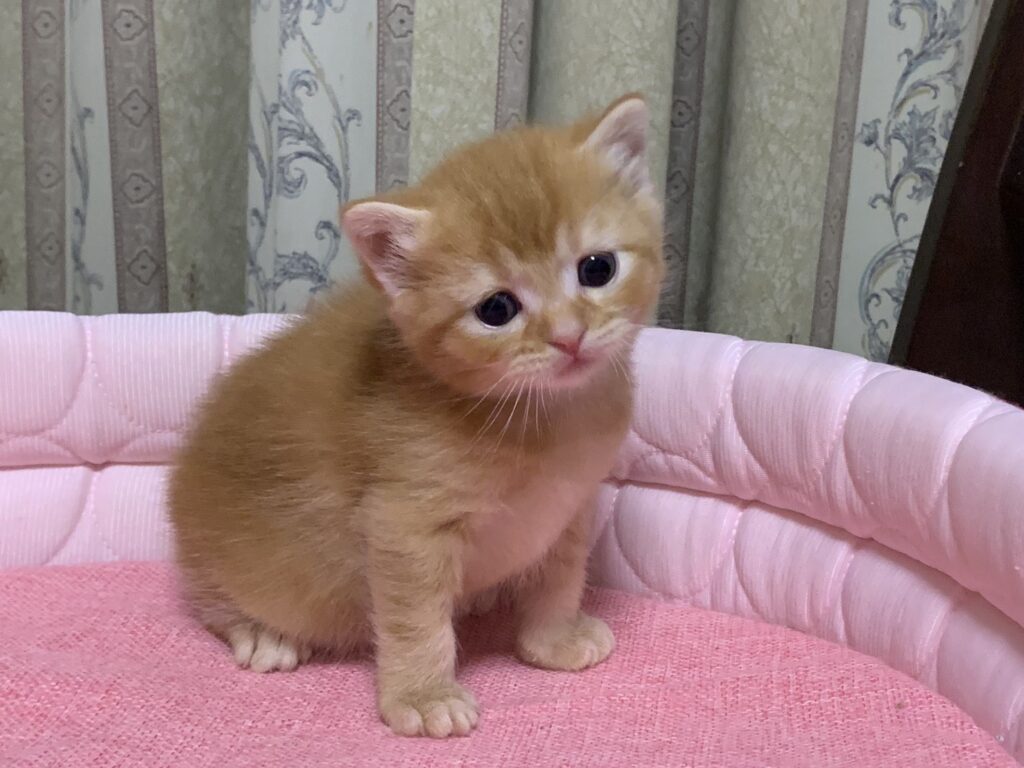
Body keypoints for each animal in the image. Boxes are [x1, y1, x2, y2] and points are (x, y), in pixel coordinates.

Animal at [168, 93, 665, 739]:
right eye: (497, 308)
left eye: (597, 268)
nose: (568, 337)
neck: (543, 418)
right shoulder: (403, 525)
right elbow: (415, 620)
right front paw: (425, 695)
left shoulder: (570, 506)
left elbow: (560, 575)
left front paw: (551, 640)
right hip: (228, 559)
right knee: (214, 598)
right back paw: (258, 631)